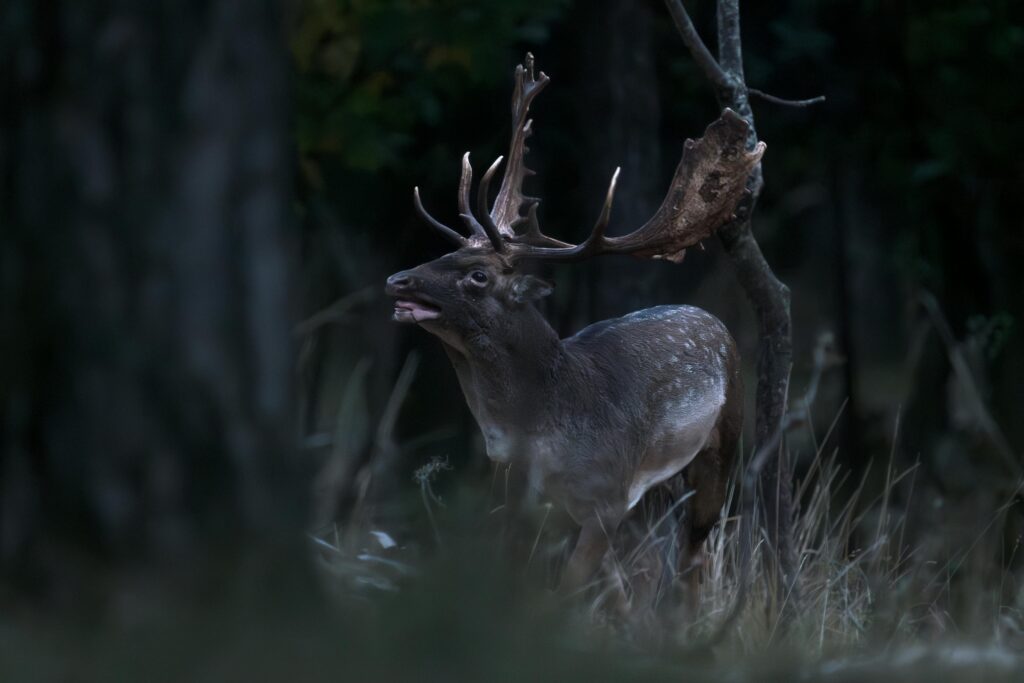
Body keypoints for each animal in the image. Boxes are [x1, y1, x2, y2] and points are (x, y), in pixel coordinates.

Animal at [386, 55, 763, 594]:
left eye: (478, 275)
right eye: (444, 253)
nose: (398, 279)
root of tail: (716, 322)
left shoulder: (607, 498)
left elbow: (566, 593)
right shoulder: (516, 494)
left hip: (724, 442)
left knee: (693, 556)